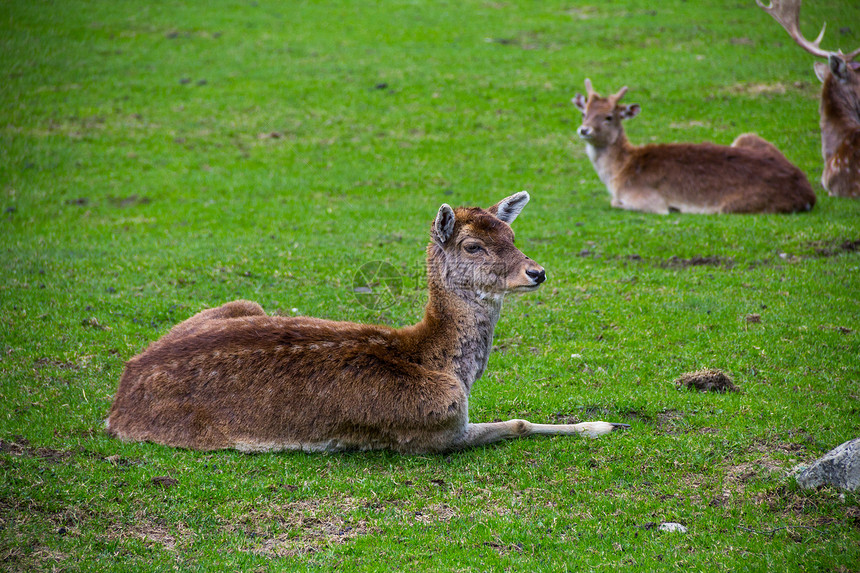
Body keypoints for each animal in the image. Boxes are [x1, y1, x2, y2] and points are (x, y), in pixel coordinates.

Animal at [107, 194, 628, 454]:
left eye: (513, 234)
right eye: (473, 246)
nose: (536, 272)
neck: (447, 368)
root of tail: (117, 402)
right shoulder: (436, 427)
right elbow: (517, 423)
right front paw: (607, 424)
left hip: (242, 302)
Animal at [576, 79, 816, 214]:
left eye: (609, 117)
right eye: (584, 113)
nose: (584, 130)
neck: (620, 172)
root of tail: (808, 194)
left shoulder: (647, 200)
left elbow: (614, 202)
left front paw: (676, 207)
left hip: (731, 206)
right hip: (746, 137)